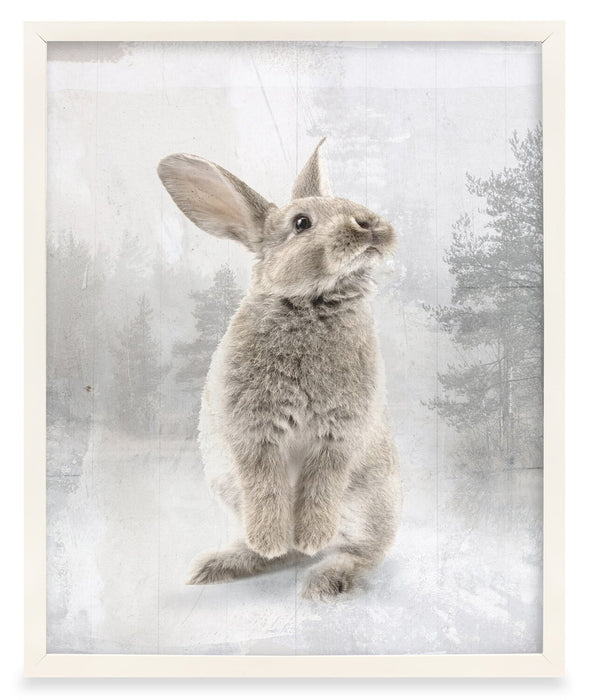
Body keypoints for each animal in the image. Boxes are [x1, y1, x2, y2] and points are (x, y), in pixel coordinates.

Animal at [157, 138, 402, 601]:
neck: (312, 304)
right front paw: (270, 539)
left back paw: (324, 576)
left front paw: (311, 536)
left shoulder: (339, 433)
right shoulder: (253, 432)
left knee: (363, 551)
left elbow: (322, 485)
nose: (369, 223)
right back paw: (229, 562)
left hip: (368, 502)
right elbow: (265, 487)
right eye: (301, 223)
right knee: (285, 554)